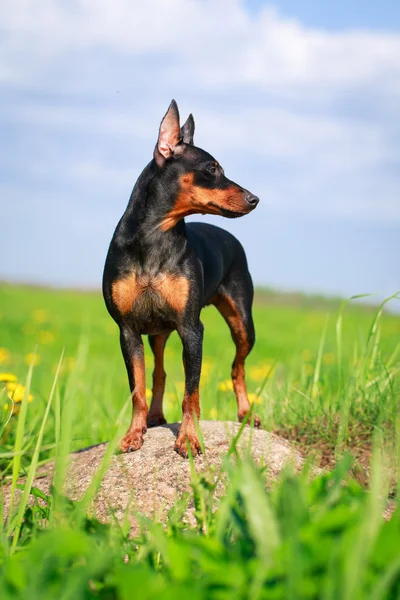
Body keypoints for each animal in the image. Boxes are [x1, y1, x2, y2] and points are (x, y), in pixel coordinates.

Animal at [101, 101, 260, 458]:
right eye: (212, 168)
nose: (254, 199)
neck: (154, 236)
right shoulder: (127, 330)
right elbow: (138, 388)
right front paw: (133, 435)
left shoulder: (191, 327)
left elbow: (191, 391)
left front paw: (188, 438)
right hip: (158, 332)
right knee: (159, 372)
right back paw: (156, 416)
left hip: (243, 323)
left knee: (237, 367)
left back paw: (246, 413)